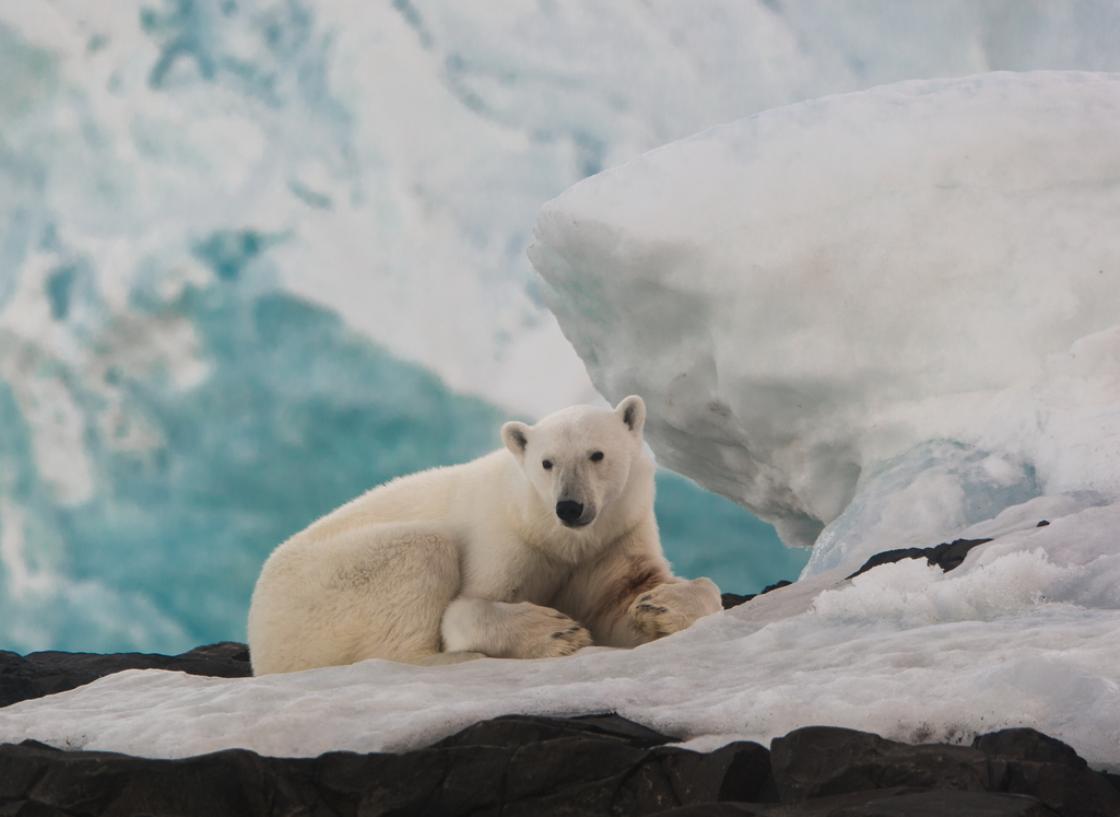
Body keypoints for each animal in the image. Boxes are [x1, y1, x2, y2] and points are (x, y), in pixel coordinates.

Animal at [246, 392, 721, 672]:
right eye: (546, 462)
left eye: (596, 454)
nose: (569, 507)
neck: (558, 537)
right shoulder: (510, 538)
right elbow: (465, 608)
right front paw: (557, 632)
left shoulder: (613, 535)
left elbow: (623, 598)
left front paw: (658, 604)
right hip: (325, 590)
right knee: (420, 552)